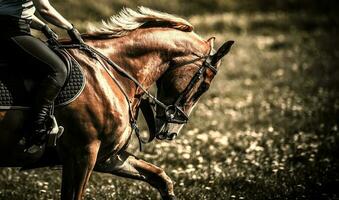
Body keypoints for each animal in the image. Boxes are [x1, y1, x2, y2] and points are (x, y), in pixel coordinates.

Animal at [0, 7, 234, 199]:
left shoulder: (107, 157)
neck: (111, 72)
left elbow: (161, 178)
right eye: (204, 87)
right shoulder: (83, 154)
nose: (171, 133)